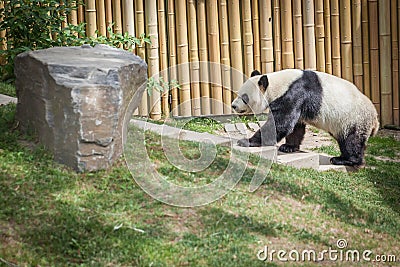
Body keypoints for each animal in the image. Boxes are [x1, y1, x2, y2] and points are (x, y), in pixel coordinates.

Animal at [230, 70, 380, 169]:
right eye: (238, 94)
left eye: (244, 97)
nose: (233, 106)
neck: (278, 84)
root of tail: (375, 120)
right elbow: (295, 126)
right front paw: (288, 147)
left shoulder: (295, 94)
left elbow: (281, 123)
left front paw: (246, 141)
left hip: (354, 119)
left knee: (352, 141)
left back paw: (344, 160)